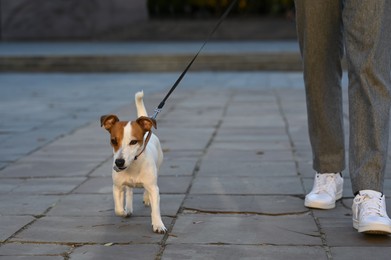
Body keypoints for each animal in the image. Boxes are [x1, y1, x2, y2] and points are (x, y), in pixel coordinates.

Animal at [99, 91, 167, 234]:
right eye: (113, 141)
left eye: (133, 142)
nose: (119, 162)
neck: (133, 165)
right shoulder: (117, 187)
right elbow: (118, 209)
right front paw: (125, 211)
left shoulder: (154, 188)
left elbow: (155, 209)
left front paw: (158, 225)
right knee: (129, 191)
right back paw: (129, 207)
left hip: (157, 169)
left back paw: (146, 198)